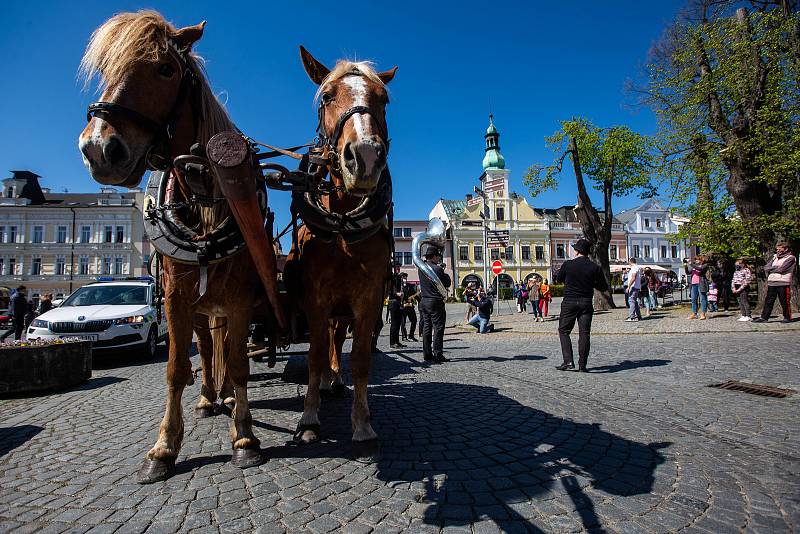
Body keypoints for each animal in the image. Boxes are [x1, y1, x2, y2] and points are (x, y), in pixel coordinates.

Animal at [79, 10, 284, 484]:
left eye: (166, 70)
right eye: (106, 69)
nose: (98, 149)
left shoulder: (241, 298)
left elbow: (239, 362)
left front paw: (244, 437)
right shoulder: (175, 298)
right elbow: (176, 369)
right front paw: (163, 448)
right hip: (200, 310)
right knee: (208, 351)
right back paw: (210, 397)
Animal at [288, 48, 400, 462]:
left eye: (383, 99)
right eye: (326, 97)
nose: (365, 155)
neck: (341, 227)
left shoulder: (367, 298)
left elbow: (361, 360)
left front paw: (363, 425)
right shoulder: (315, 298)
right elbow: (315, 356)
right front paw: (308, 421)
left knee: (337, 341)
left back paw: (335, 381)